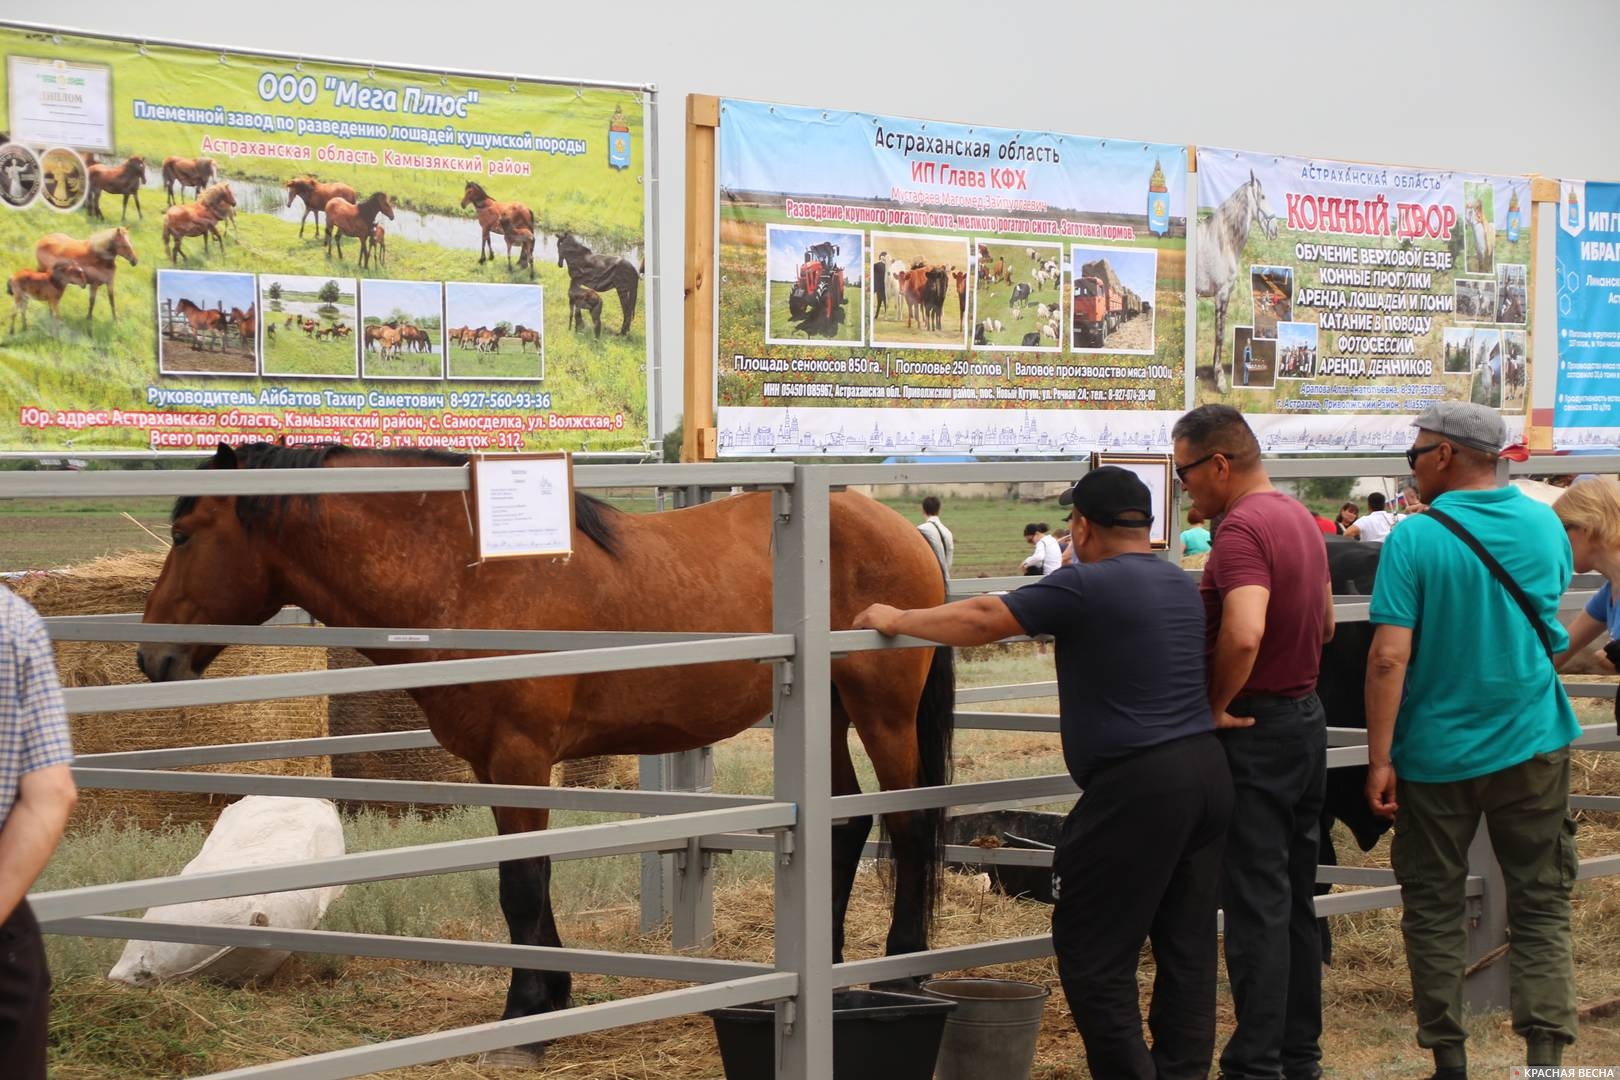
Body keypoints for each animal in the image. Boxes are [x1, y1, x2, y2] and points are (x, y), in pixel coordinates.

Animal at [139, 446, 952, 1062]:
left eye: (183, 535)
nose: (152, 659)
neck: (468, 573)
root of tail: (899, 530)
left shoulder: (521, 758)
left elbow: (523, 884)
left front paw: (525, 1015)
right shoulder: (493, 766)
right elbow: (524, 880)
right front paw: (552, 996)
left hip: (882, 711)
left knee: (910, 823)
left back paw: (902, 971)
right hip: (832, 714)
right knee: (848, 822)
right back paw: (837, 962)